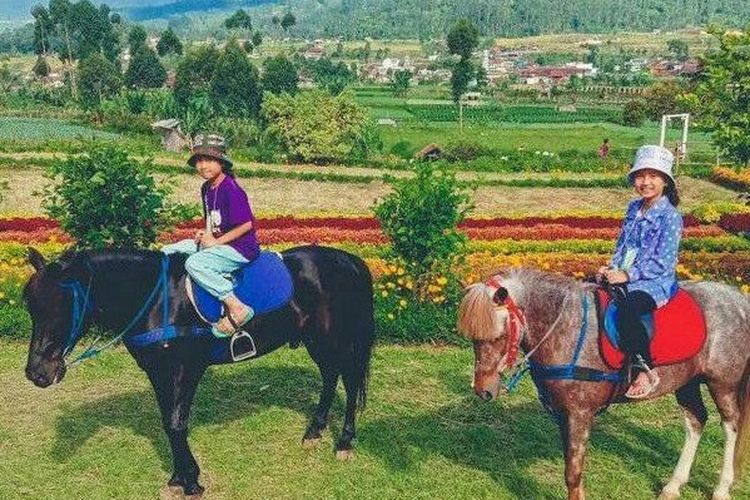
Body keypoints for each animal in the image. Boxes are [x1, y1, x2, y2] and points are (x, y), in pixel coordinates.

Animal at [23, 244, 376, 494]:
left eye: (61, 305)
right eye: (31, 307)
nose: (37, 373)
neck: (160, 299)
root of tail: (351, 262)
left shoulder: (186, 369)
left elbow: (177, 424)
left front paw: (191, 482)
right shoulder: (158, 372)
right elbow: (168, 423)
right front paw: (178, 479)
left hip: (334, 339)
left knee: (348, 379)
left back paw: (344, 443)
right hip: (316, 340)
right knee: (330, 377)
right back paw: (314, 431)